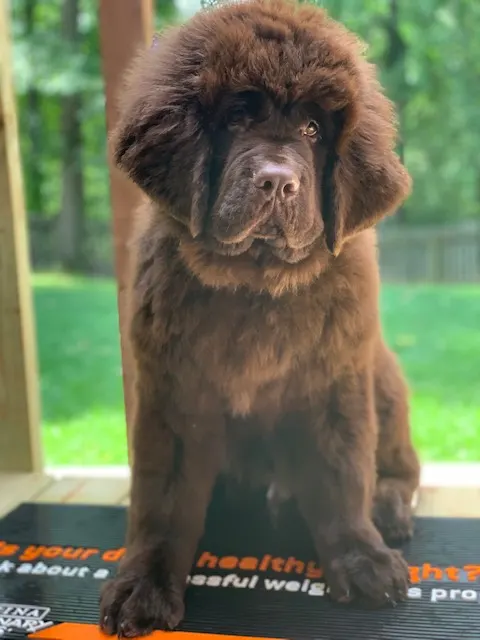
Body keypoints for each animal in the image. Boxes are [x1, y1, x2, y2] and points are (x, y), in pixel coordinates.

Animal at [100, 1, 420, 636]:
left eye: (313, 130)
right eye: (235, 120)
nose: (276, 180)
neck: (255, 285)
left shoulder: (335, 383)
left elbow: (342, 475)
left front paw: (361, 558)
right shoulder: (172, 393)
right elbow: (161, 500)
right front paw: (142, 584)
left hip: (383, 377)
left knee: (397, 465)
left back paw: (389, 506)